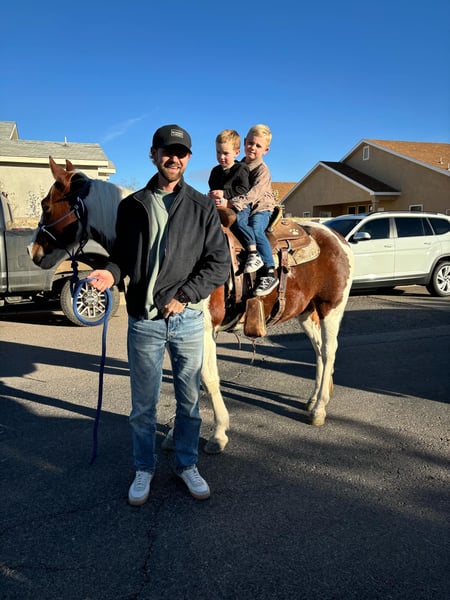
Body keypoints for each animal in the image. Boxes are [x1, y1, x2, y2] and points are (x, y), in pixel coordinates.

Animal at [29, 157, 354, 453]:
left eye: (46, 205)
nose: (33, 252)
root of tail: (337, 238)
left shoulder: (204, 330)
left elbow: (207, 379)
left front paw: (218, 433)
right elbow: (188, 381)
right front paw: (177, 434)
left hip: (331, 307)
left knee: (330, 350)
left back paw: (319, 409)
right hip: (307, 311)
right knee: (319, 351)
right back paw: (313, 399)